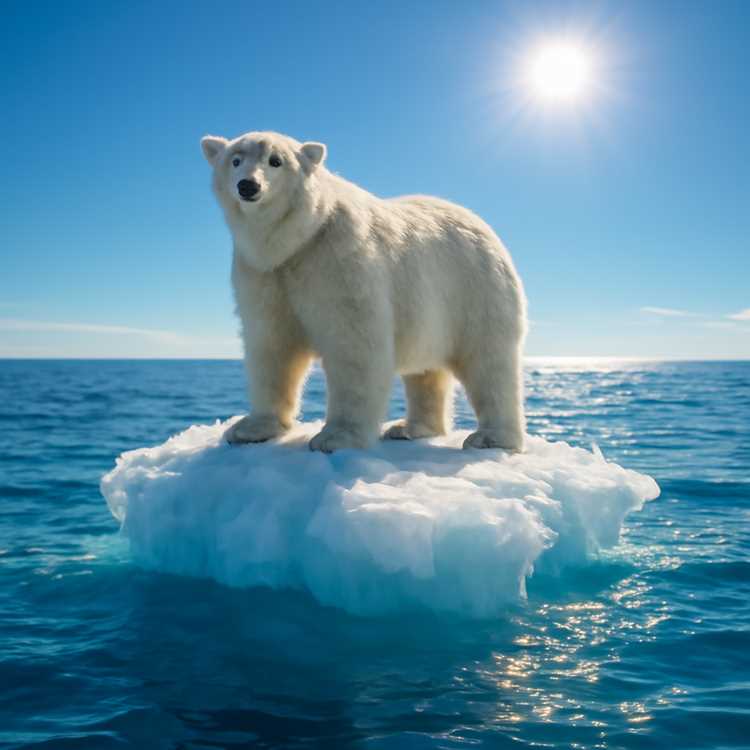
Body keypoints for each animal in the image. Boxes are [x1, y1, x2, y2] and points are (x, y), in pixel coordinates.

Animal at [201, 131, 527, 453]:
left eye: (275, 161)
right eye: (235, 160)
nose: (248, 185)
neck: (297, 239)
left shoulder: (338, 259)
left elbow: (353, 345)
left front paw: (335, 437)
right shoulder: (264, 274)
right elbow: (271, 345)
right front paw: (249, 429)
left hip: (475, 288)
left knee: (489, 362)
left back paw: (490, 437)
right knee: (426, 371)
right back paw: (410, 428)